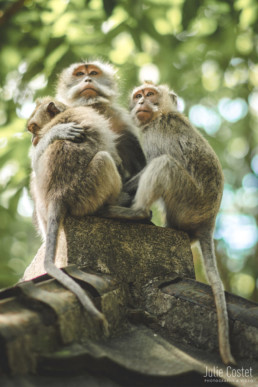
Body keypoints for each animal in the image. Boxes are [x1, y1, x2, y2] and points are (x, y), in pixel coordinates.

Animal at [26, 96, 122, 334]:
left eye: (34, 128)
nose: (33, 140)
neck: (65, 113)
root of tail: (59, 194)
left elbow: (36, 164)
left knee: (36, 177)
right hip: (88, 189)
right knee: (105, 158)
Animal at [100, 82, 237, 366]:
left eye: (150, 94)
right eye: (138, 95)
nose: (142, 102)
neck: (160, 114)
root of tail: (208, 221)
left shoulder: (157, 132)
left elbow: (157, 160)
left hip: (187, 201)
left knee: (164, 164)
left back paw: (136, 213)